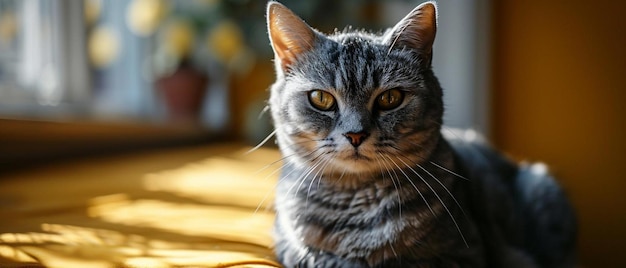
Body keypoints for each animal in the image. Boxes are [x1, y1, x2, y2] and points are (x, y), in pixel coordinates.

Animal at [264, 1, 576, 266]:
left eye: (390, 98)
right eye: (321, 99)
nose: (355, 135)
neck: (355, 203)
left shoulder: (466, 255)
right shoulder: (288, 244)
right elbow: (317, 257)